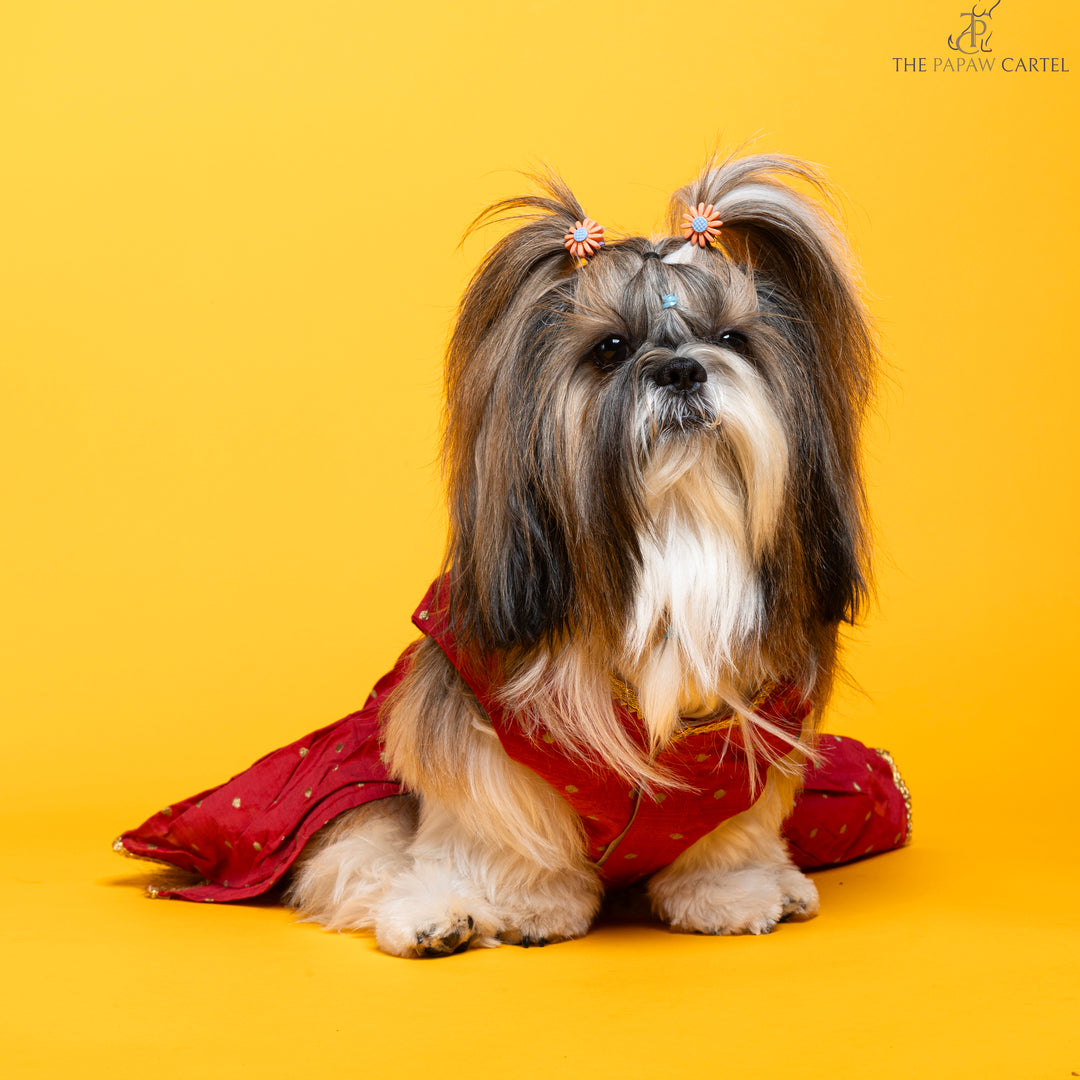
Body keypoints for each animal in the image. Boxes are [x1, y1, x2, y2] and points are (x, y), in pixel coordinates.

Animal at [280, 152, 876, 954]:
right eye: (611, 349)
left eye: (731, 340)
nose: (682, 370)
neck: (675, 533)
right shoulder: (484, 738)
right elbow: (500, 825)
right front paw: (529, 905)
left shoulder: (749, 740)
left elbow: (731, 829)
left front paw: (728, 892)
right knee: (360, 856)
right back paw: (436, 917)